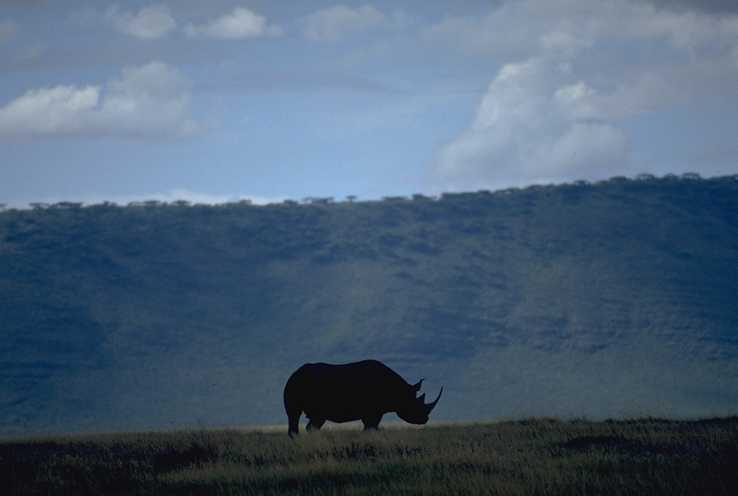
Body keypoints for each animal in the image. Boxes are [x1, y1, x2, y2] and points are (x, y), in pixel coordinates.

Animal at [283, 359, 443, 437]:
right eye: (415, 405)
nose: (425, 419)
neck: (400, 391)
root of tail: (293, 374)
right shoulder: (372, 411)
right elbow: (371, 426)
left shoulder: (375, 411)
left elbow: (371, 427)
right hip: (294, 385)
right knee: (294, 414)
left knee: (314, 420)